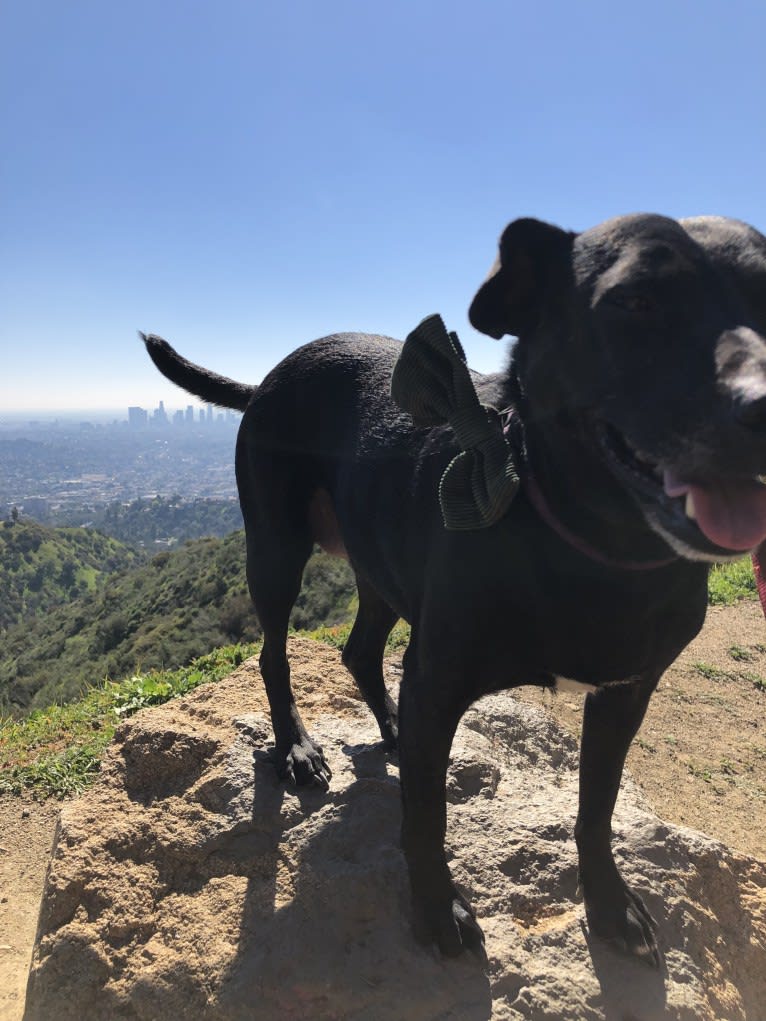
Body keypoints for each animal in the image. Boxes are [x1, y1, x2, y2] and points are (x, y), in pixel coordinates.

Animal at [142, 211, 766, 959]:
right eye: (635, 301)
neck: (598, 554)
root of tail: (268, 375)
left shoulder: (625, 693)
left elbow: (597, 804)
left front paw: (610, 903)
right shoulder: (440, 679)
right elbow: (425, 819)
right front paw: (438, 910)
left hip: (380, 567)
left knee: (361, 651)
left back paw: (388, 727)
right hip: (276, 549)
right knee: (274, 654)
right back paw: (297, 748)